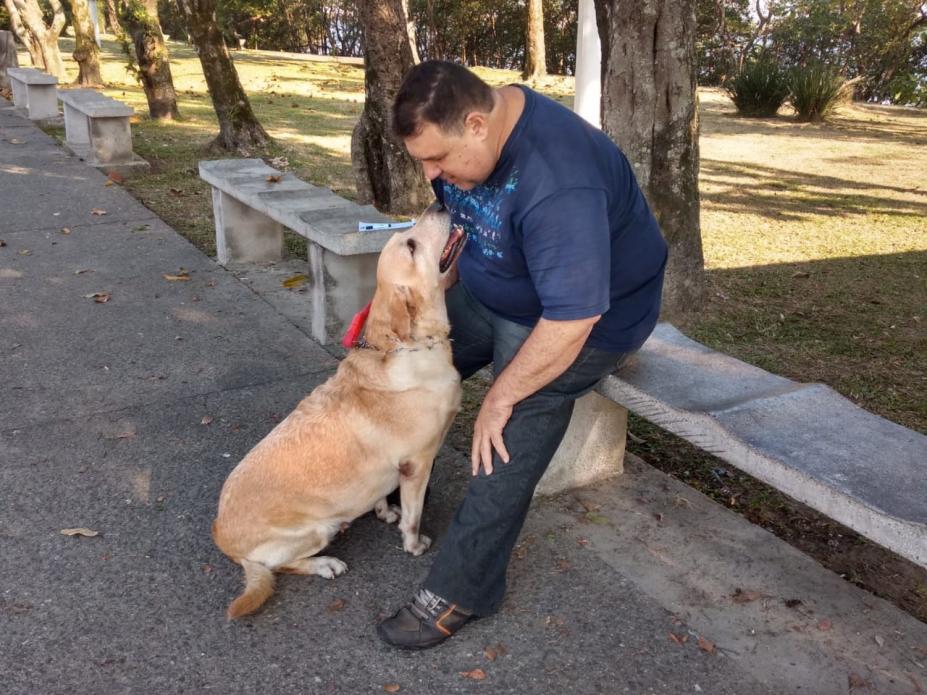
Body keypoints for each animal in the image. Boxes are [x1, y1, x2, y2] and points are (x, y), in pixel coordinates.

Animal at [214, 204, 468, 616]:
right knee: (281, 566)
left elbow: (382, 494)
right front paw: (414, 544)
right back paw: (325, 564)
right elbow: (413, 517)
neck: (406, 347)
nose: (439, 204)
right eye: (412, 245)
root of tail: (221, 534)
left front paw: (384, 512)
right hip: (317, 530)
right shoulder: (417, 464)